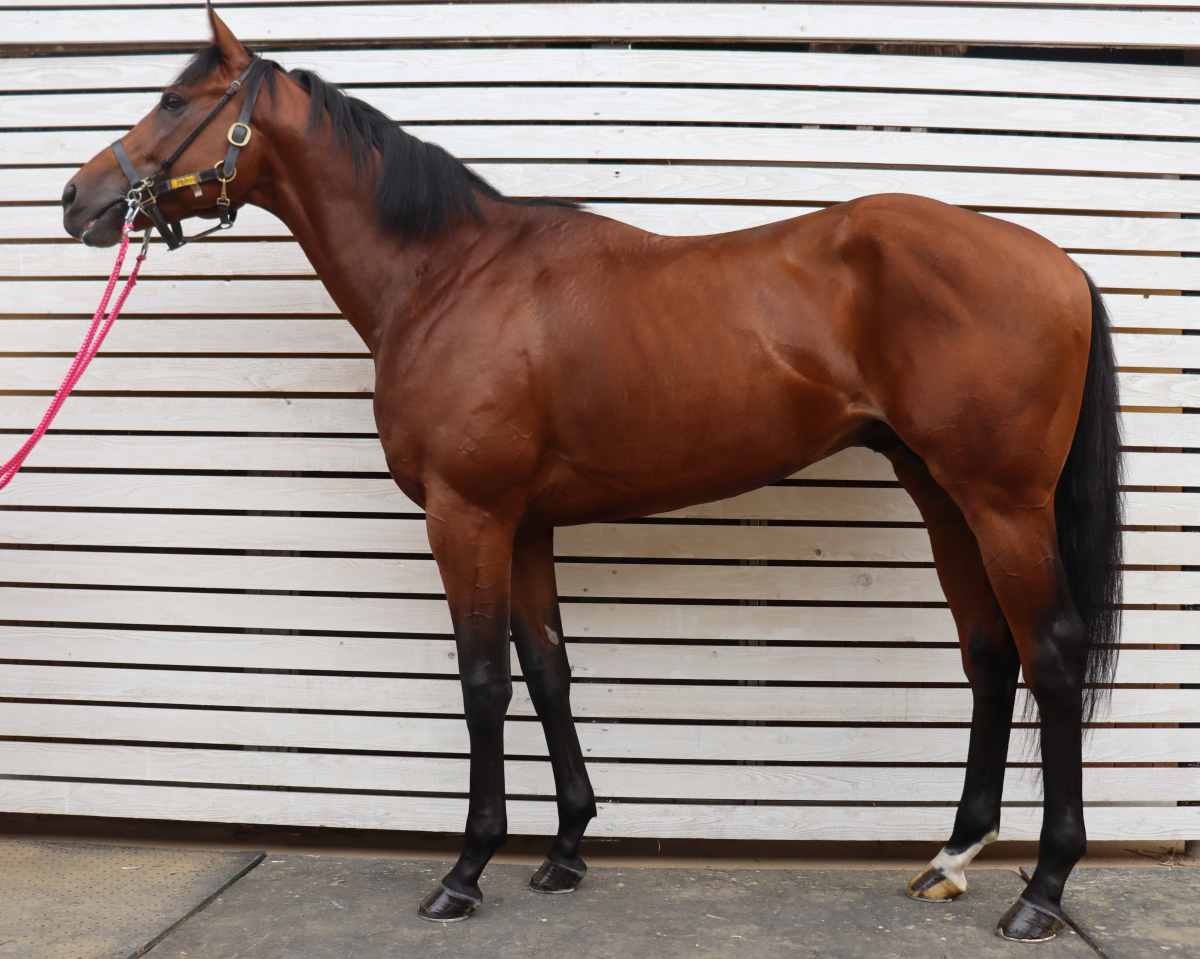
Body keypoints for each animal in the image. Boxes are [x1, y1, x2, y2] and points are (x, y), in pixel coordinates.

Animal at [61, 8, 1122, 941]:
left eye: (173, 98)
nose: (78, 199)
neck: (448, 276)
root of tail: (1058, 265)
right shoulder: (524, 522)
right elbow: (549, 669)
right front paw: (566, 846)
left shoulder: (468, 515)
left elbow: (483, 679)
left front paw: (466, 868)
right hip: (942, 494)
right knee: (989, 652)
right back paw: (952, 856)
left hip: (1003, 503)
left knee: (1050, 653)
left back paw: (1041, 891)